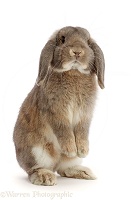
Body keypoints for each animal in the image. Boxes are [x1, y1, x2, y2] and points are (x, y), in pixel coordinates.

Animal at [13, 26, 104, 186]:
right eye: (62, 39)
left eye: (87, 42)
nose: (77, 51)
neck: (73, 72)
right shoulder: (56, 112)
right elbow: (64, 130)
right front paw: (70, 149)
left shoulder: (85, 115)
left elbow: (82, 130)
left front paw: (83, 150)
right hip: (36, 151)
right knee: (35, 169)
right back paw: (45, 177)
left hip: (67, 162)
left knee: (64, 169)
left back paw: (84, 172)